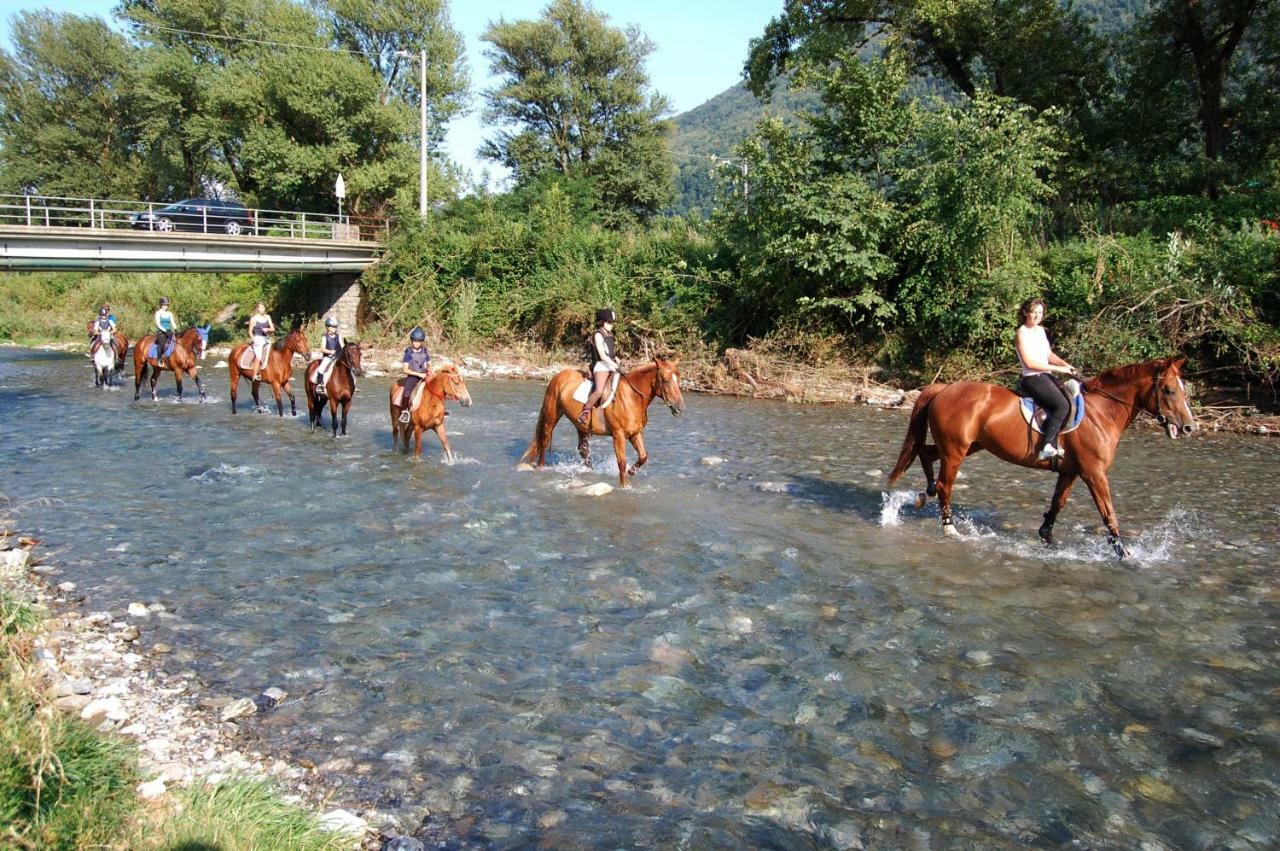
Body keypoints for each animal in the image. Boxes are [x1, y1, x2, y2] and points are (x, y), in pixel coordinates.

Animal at [517, 355, 686, 483]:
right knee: (544, 441)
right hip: (551, 416)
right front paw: (625, 486)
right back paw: (541, 467)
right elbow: (621, 462)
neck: (632, 397)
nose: (679, 408)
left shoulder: (635, 433)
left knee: (583, 450)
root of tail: (557, 376)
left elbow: (643, 456)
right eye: (665, 380)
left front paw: (631, 471)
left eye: (678, 380)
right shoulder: (618, 435)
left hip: (581, 425)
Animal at [890, 353, 1198, 557]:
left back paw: (925, 492)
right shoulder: (1094, 473)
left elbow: (1057, 503)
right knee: (945, 485)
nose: (1189, 427)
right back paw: (949, 527)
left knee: (926, 454)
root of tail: (944, 388)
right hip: (956, 450)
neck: (1101, 413)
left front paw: (1046, 537)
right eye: (1169, 390)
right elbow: (1108, 513)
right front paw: (1123, 554)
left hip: (969, 444)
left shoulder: (1070, 472)